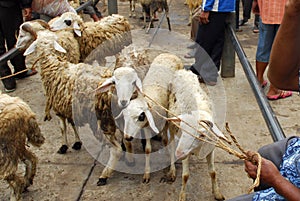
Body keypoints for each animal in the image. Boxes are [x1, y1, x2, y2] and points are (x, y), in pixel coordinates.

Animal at [166, 69, 225, 201]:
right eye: (183, 129)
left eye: (202, 135)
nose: (179, 154)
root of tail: (182, 71)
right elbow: (185, 175)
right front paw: (182, 196)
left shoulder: (210, 148)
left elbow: (213, 172)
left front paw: (217, 192)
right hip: (171, 126)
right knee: (171, 146)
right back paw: (172, 170)